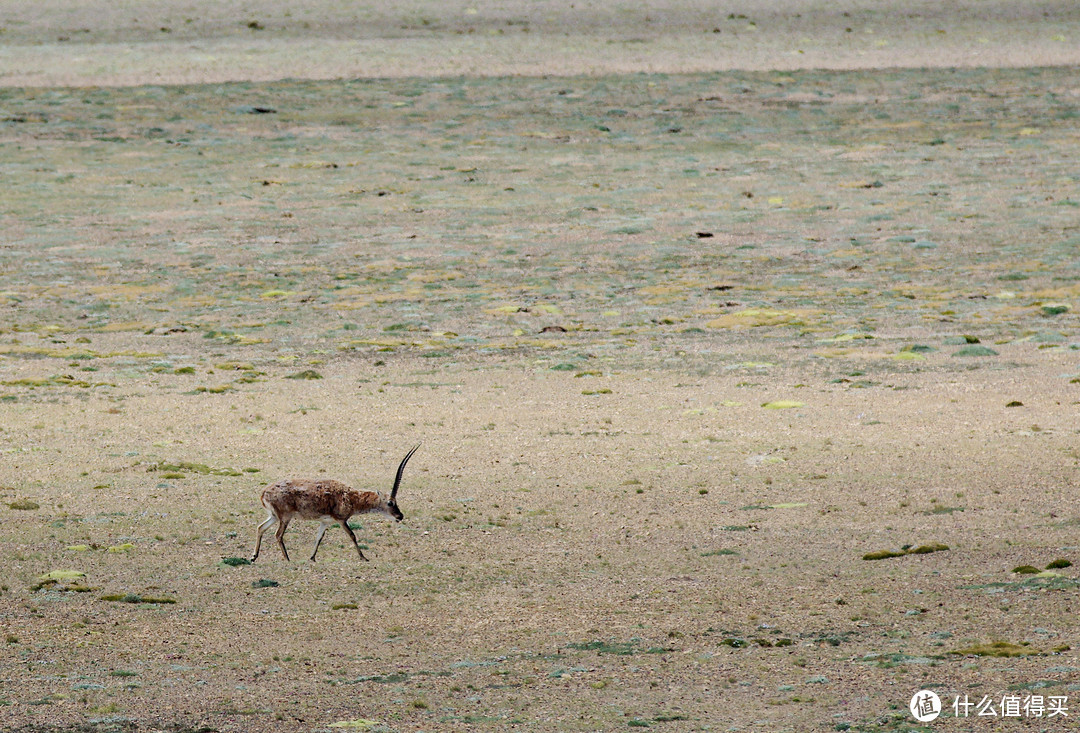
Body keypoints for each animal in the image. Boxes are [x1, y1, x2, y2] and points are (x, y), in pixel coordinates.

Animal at [250, 444, 419, 565]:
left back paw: (253, 557)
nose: (400, 516)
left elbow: (319, 537)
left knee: (260, 528)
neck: (350, 496)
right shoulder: (341, 520)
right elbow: (352, 535)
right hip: (285, 518)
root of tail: (264, 492)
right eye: (390, 502)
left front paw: (312, 558)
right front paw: (364, 557)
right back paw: (287, 559)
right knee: (278, 535)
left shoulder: (325, 522)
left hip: (274, 517)